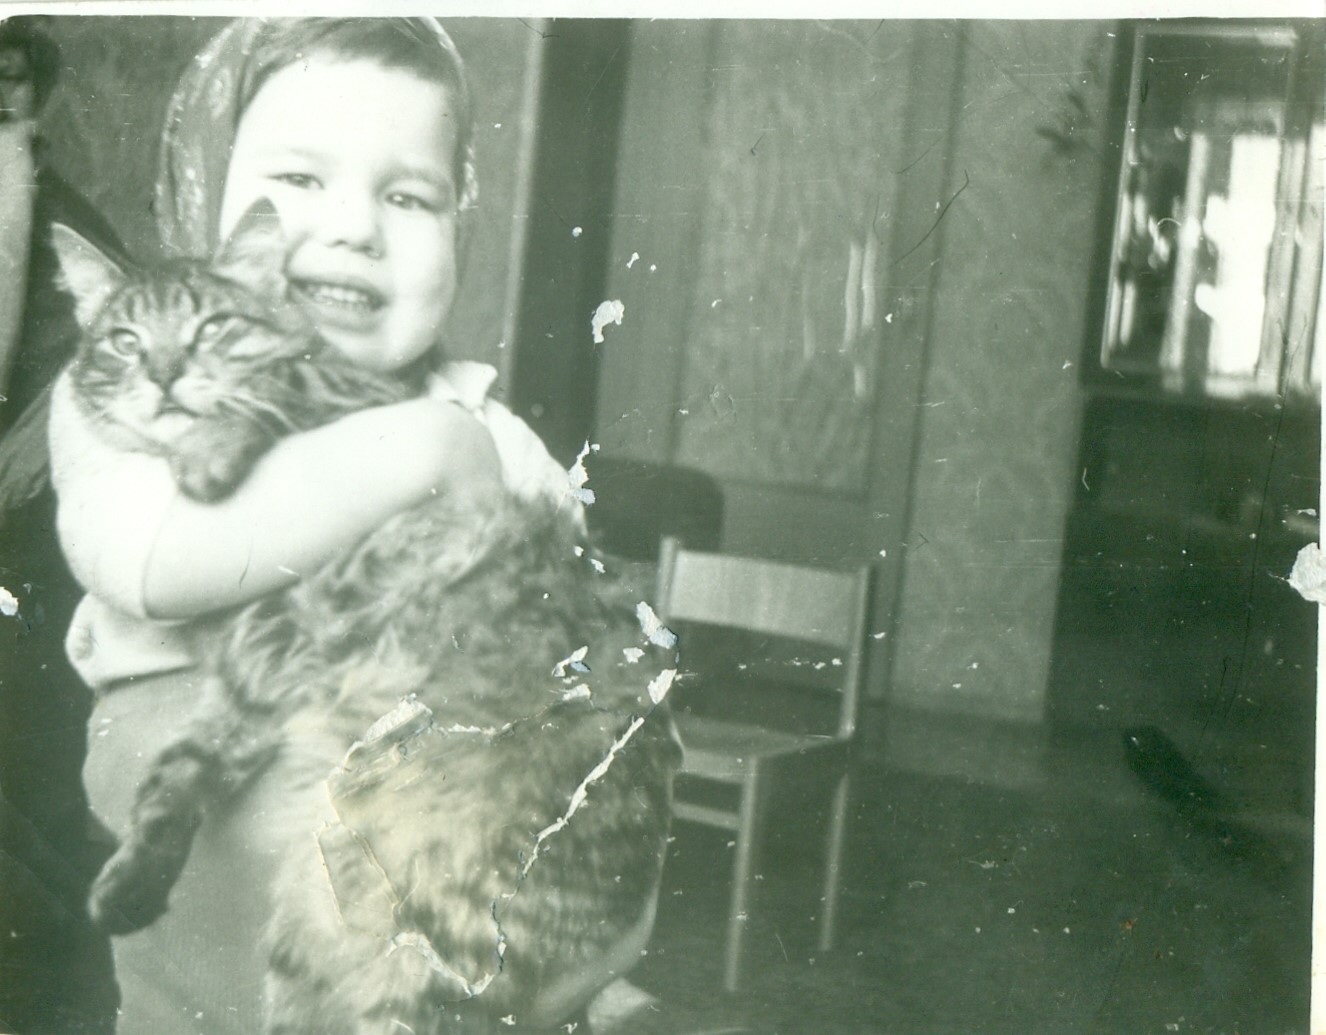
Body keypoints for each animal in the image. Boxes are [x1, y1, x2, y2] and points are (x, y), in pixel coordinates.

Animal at [52, 201, 682, 1034]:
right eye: (125, 340)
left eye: (213, 326)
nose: (162, 374)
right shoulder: (254, 675)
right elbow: (176, 772)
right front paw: (134, 875)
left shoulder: (353, 400)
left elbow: (274, 380)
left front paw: (208, 445)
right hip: (328, 915)